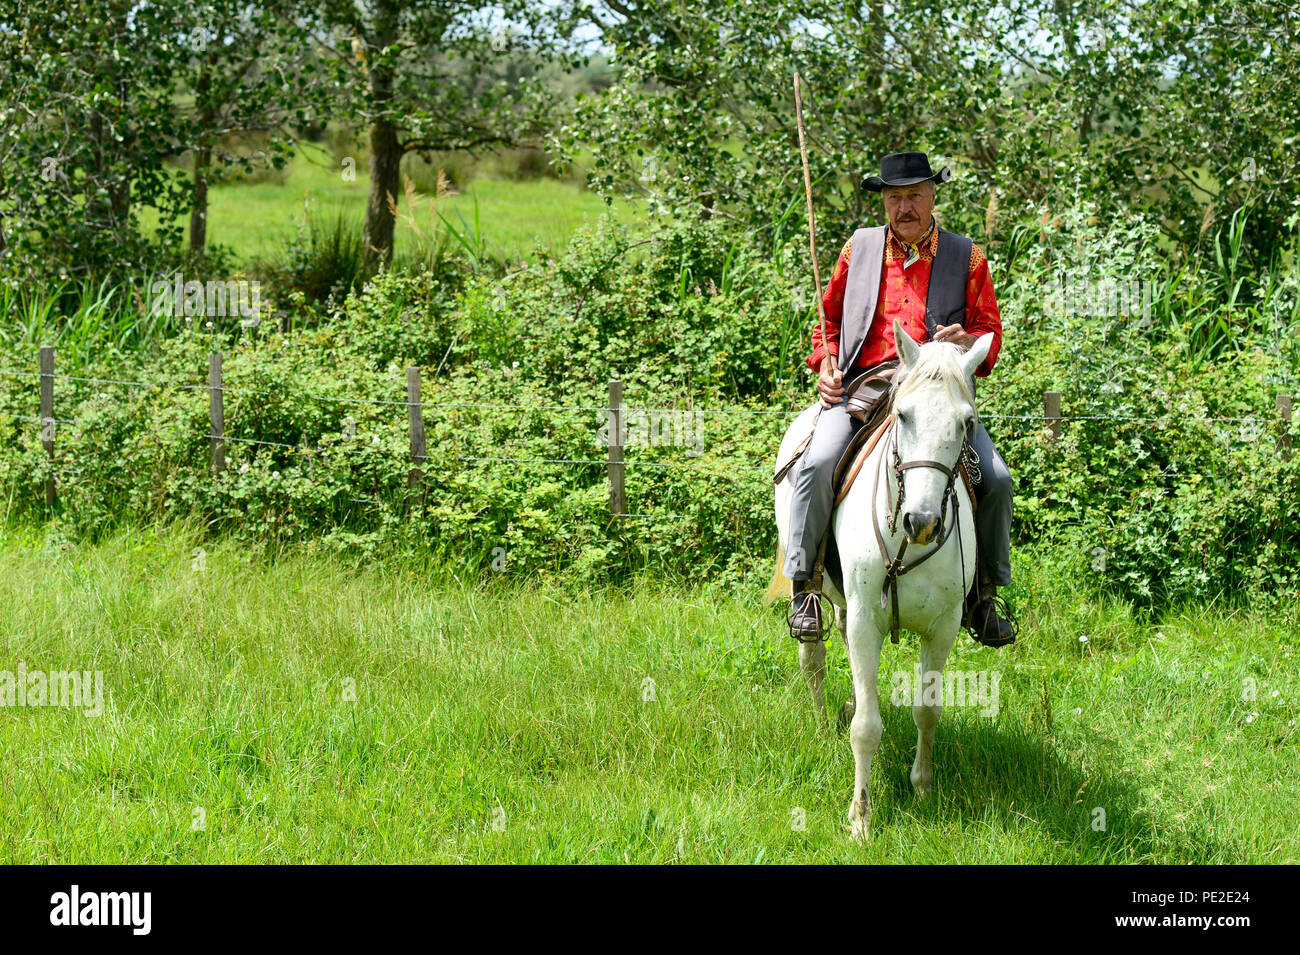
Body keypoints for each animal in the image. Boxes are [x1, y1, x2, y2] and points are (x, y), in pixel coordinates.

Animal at [769, 319, 993, 836]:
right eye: (903, 416)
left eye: (966, 423)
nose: (922, 521)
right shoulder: (866, 617)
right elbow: (867, 728)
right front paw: (861, 818)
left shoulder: (943, 627)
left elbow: (927, 711)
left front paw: (923, 788)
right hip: (818, 595)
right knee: (814, 659)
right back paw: (821, 727)